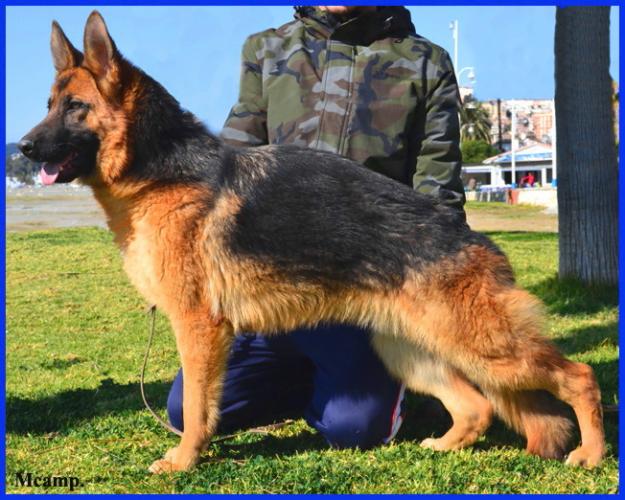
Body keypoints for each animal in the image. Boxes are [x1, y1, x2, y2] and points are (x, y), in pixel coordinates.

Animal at [20, 10, 604, 472]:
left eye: (74, 108)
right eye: (48, 104)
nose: (22, 147)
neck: (159, 172)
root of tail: (466, 234)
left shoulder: (198, 327)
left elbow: (197, 411)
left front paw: (184, 461)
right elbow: (202, 408)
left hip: (482, 345)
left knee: (580, 376)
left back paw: (591, 454)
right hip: (412, 350)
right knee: (477, 406)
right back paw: (443, 446)